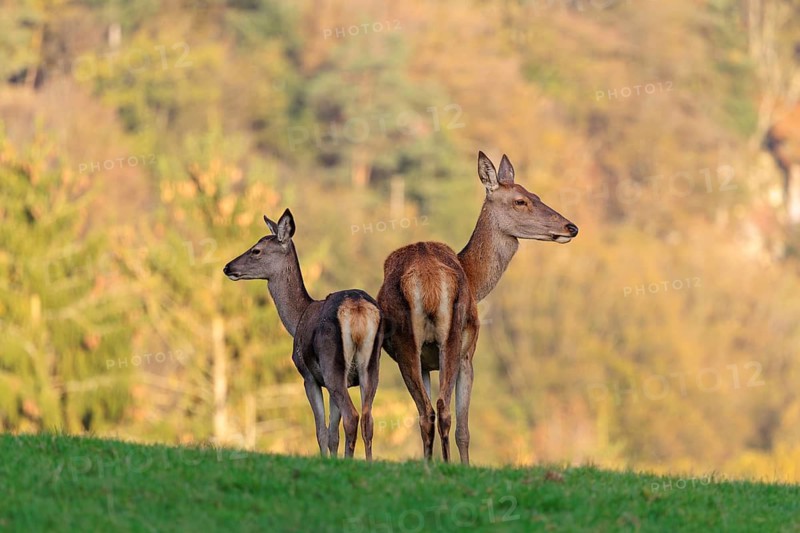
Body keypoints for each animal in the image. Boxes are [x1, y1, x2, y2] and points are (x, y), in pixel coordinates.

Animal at [223, 209, 383, 460]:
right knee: (368, 419)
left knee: (352, 416)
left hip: (331, 363)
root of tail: (356, 307)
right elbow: (333, 433)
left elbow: (321, 432)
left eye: (256, 250)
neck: (297, 319)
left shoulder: (309, 376)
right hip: (372, 365)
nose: (228, 267)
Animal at [377, 151, 578, 465]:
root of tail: (426, 278)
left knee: (426, 412)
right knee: (443, 409)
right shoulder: (468, 354)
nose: (571, 227)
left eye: (536, 194)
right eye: (520, 201)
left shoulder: (425, 361)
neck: (474, 279)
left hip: (406, 347)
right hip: (453, 339)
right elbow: (464, 429)